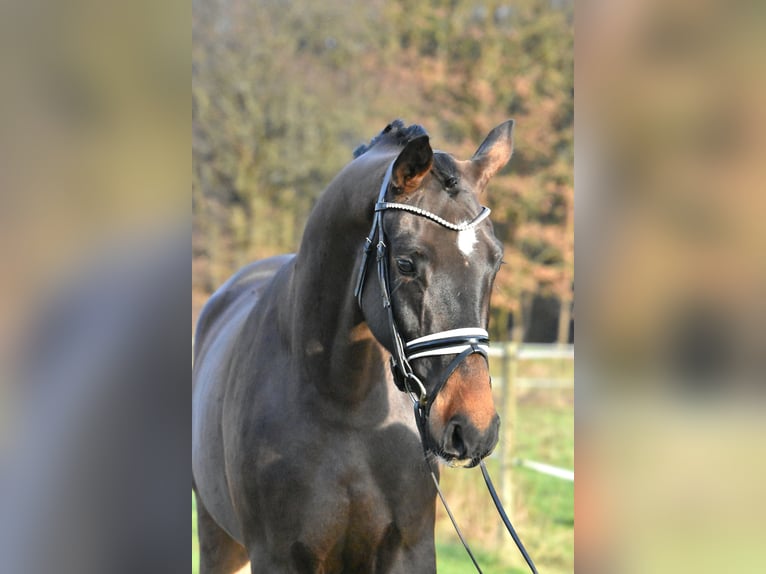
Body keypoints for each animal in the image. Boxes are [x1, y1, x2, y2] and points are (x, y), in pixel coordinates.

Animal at [192, 119, 516, 572]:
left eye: (496, 262)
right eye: (406, 263)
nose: (473, 428)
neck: (344, 403)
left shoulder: (410, 551)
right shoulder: (276, 557)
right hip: (217, 537)